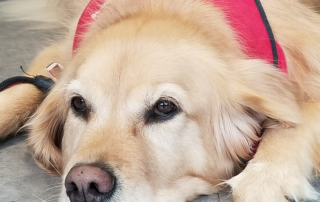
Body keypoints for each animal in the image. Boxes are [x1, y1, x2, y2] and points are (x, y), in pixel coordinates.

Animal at [0, 0, 320, 201]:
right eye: (78, 104)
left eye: (164, 107)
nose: (84, 184)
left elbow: (295, 122)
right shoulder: (57, 57)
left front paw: (266, 179)